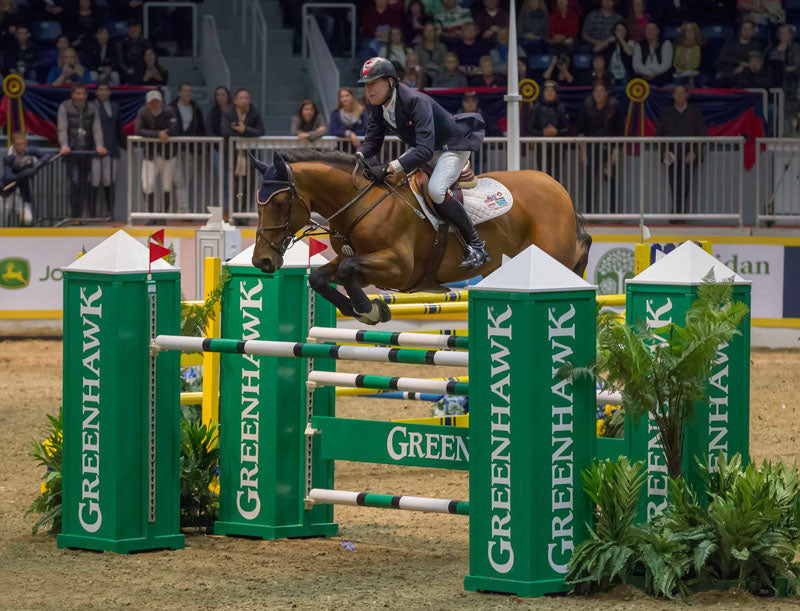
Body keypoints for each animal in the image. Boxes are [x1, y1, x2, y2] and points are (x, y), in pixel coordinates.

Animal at [252, 149, 592, 326]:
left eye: (279, 204)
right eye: (257, 204)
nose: (262, 261)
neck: (358, 203)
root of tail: (559, 189)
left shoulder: (398, 268)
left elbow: (348, 270)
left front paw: (370, 310)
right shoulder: (360, 263)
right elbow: (321, 276)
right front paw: (362, 309)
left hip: (551, 254)